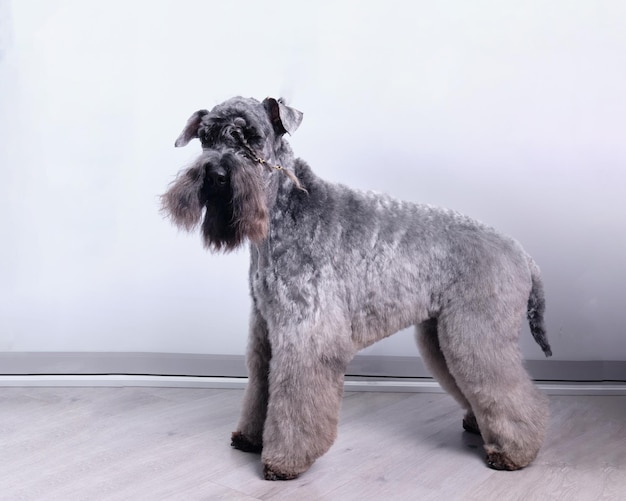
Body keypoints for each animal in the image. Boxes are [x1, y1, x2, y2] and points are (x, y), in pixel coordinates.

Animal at [161, 94, 552, 480]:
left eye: (251, 137)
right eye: (206, 137)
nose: (216, 174)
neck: (285, 210)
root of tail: (522, 253)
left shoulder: (306, 330)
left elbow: (294, 396)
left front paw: (284, 461)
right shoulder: (265, 328)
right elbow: (261, 383)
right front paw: (250, 437)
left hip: (476, 333)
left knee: (511, 388)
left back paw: (514, 451)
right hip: (440, 335)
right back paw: (479, 424)